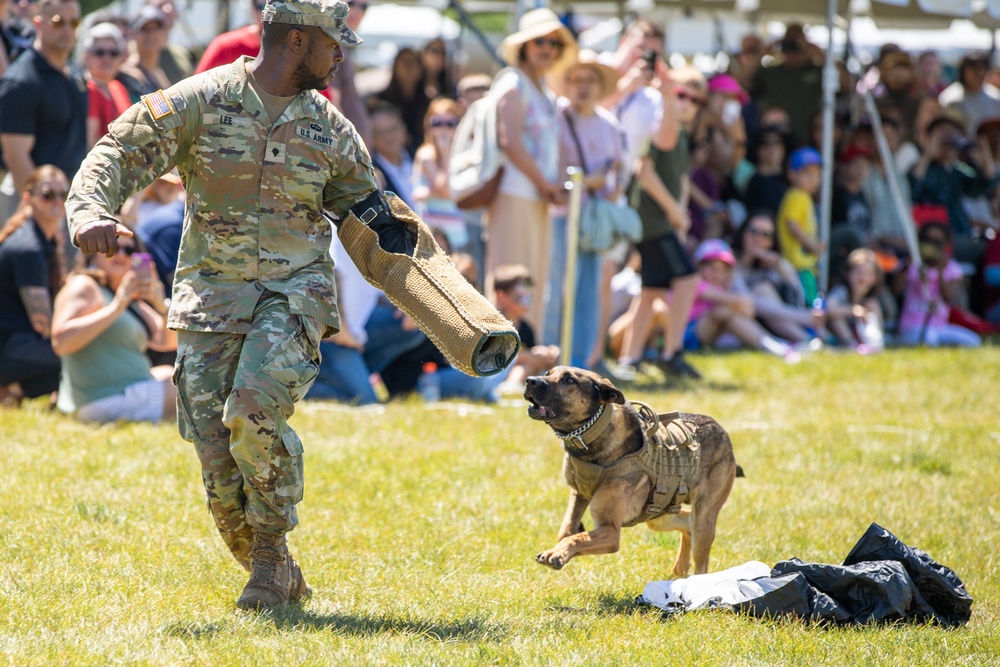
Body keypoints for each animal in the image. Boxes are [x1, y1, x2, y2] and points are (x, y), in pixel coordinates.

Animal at [528, 368, 740, 576]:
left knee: (701, 563)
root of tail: (721, 429)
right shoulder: (578, 495)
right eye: (548, 373)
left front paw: (558, 553)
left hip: (703, 518)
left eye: (569, 380)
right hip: (660, 514)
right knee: (687, 523)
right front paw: (558, 550)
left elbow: (576, 537)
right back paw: (680, 568)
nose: (530, 380)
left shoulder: (611, 531)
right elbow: (566, 531)